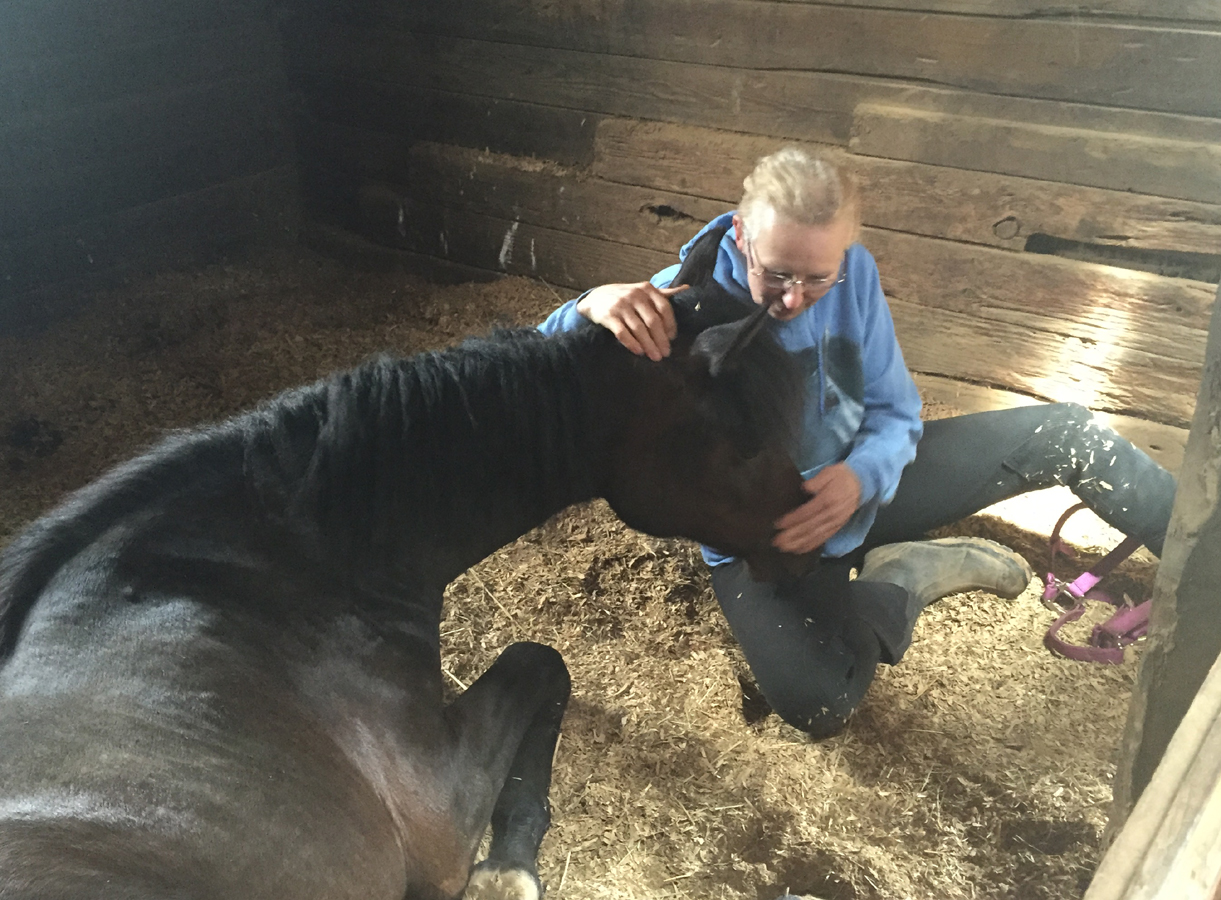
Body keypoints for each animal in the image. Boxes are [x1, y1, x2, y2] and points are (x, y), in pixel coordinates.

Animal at [2, 225, 820, 898]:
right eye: (748, 442)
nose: (808, 548)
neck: (290, 563)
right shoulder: (435, 808)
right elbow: (544, 662)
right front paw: (509, 869)